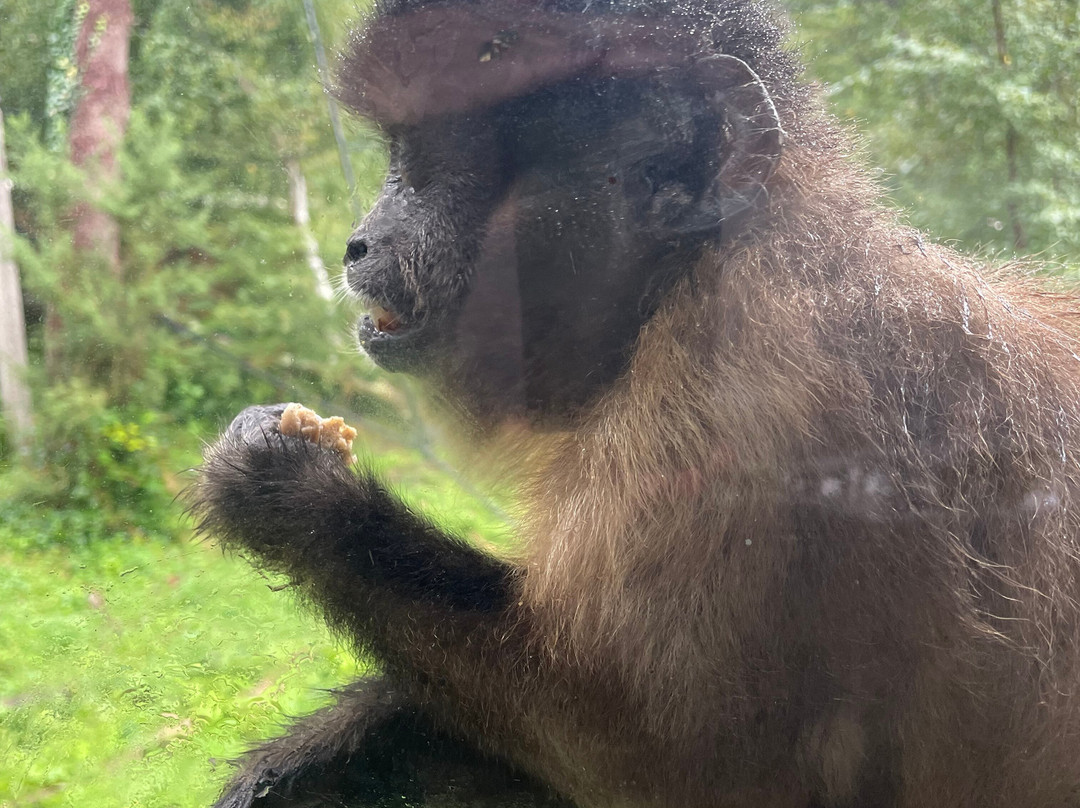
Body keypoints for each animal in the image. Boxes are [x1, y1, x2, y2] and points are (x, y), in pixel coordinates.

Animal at [190, 0, 1080, 806]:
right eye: (395, 161)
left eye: (432, 167)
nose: (358, 242)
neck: (687, 273)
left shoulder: (754, 393)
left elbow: (679, 767)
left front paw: (293, 493)